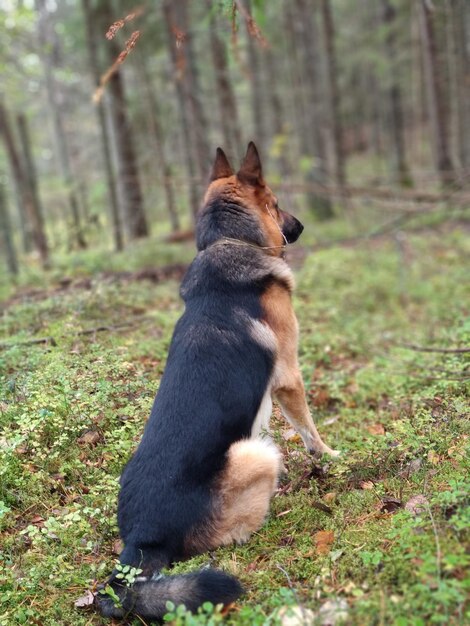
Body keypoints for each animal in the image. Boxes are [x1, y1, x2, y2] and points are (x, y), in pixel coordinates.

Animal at [97, 143, 338, 620]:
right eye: (275, 203)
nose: (301, 226)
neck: (229, 240)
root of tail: (140, 541)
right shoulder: (288, 377)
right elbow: (309, 431)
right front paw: (333, 457)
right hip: (254, 454)